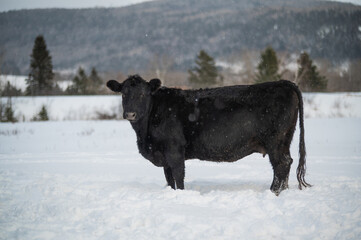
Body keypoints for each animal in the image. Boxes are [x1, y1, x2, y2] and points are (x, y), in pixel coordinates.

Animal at [106, 75, 310, 195]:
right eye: (123, 94)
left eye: (143, 94)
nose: (130, 114)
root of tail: (283, 82)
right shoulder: (164, 157)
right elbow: (169, 179)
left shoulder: (174, 151)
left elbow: (179, 177)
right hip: (284, 140)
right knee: (286, 163)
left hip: (275, 140)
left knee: (281, 164)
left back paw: (273, 192)